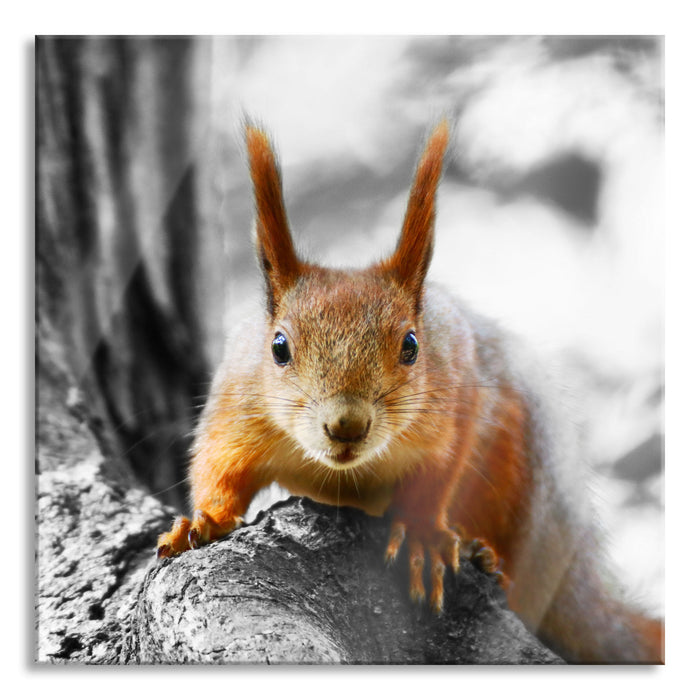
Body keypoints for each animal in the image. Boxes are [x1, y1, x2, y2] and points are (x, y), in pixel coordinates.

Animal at [156, 120, 664, 664]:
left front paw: (422, 534)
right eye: (278, 347)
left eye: (411, 345)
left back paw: (486, 555)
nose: (347, 425)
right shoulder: (237, 404)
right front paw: (203, 521)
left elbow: (440, 472)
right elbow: (219, 468)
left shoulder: (458, 398)